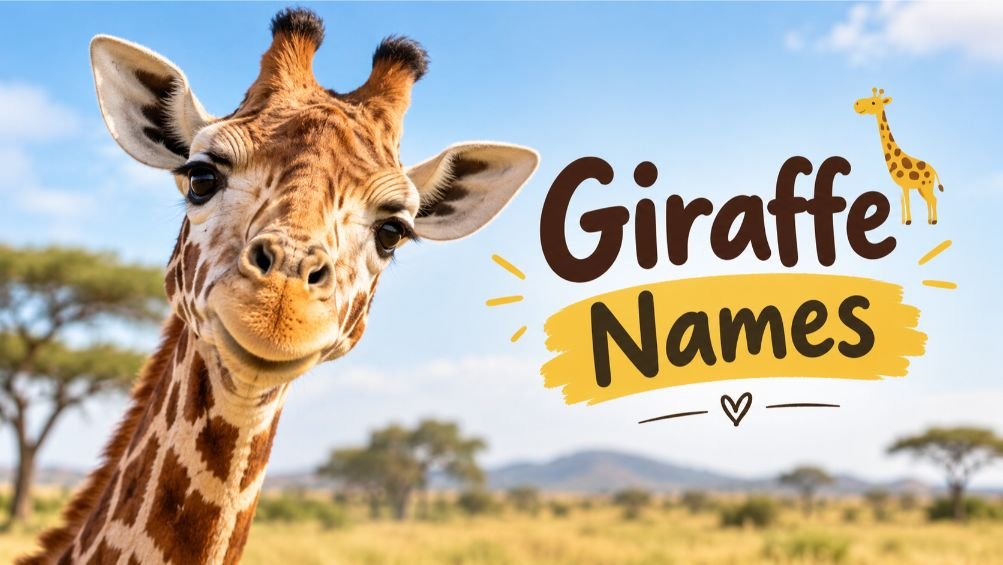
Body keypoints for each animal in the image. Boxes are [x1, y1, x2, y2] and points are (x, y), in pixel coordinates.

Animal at [854, 88, 944, 225]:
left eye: (873, 102)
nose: (857, 104)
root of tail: (934, 170)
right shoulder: (900, 186)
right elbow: (902, 200)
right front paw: (903, 221)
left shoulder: (905, 185)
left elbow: (907, 200)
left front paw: (908, 222)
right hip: (922, 188)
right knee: (928, 200)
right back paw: (929, 220)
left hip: (927, 185)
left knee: (933, 199)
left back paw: (934, 221)